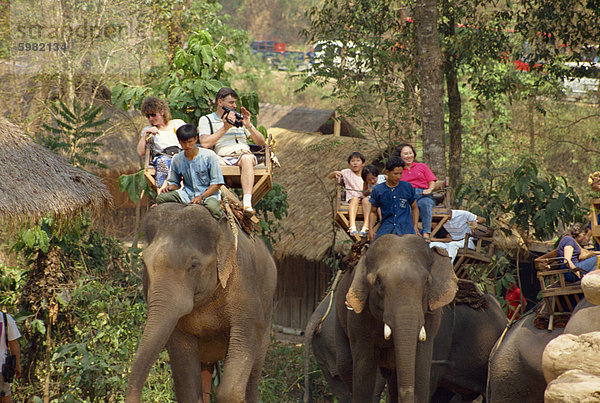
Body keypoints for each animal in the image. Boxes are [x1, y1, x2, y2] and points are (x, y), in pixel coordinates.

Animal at [126, 205, 278, 403]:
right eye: (144, 262)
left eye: (193, 265)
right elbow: (187, 388)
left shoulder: (244, 283)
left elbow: (230, 390)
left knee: (254, 372)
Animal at [332, 235, 506, 402]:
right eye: (378, 282)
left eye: (427, 282)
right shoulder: (358, 318)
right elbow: (364, 371)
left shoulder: (434, 322)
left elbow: (422, 369)